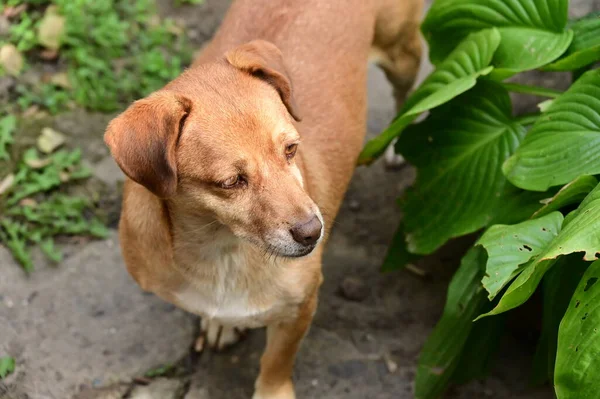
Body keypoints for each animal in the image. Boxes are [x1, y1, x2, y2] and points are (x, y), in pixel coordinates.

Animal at [104, 1, 422, 398]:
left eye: (291, 149)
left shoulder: (299, 309)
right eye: (230, 182)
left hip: (402, 54)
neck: (222, 251)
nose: (313, 232)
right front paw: (224, 324)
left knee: (408, 97)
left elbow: (275, 362)